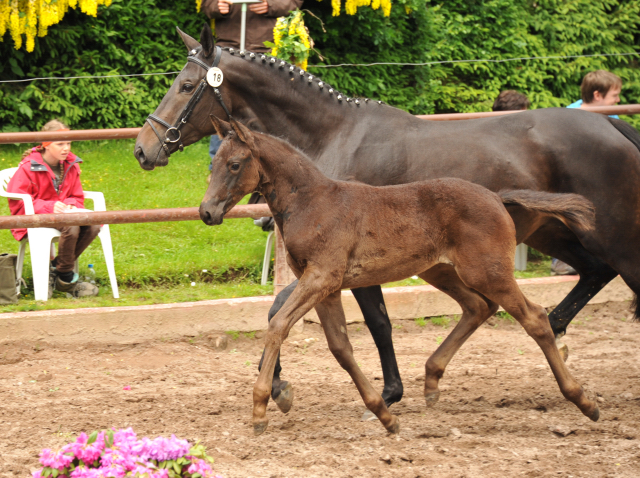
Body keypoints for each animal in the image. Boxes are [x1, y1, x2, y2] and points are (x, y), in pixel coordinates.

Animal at [202, 116, 604, 436]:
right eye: (213, 163)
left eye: (235, 164)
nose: (206, 211)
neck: (312, 202)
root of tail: (496, 197)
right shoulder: (327, 287)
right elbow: (340, 347)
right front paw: (384, 414)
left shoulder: (321, 278)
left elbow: (278, 325)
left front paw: (259, 410)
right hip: (440, 270)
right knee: (478, 306)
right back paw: (431, 380)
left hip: (488, 272)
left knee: (534, 318)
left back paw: (584, 401)